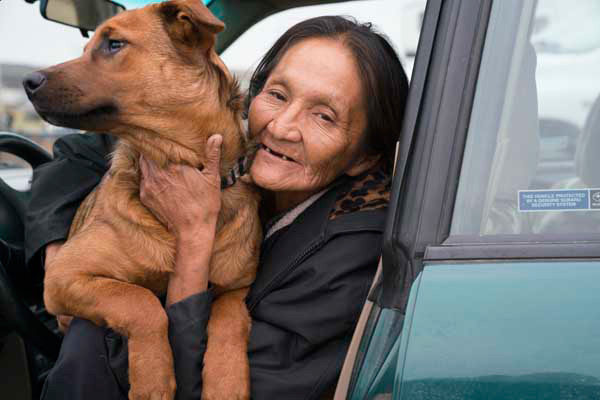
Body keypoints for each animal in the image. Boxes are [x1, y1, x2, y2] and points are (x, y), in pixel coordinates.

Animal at [23, 1, 260, 398]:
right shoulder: (63, 275)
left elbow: (229, 317)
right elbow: (142, 302)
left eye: (114, 44)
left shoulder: (239, 286)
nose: (28, 81)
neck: (178, 160)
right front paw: (153, 378)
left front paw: (226, 380)